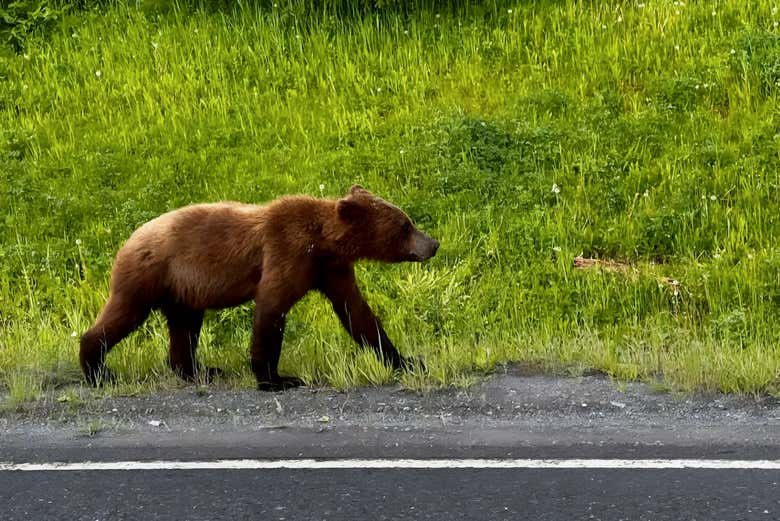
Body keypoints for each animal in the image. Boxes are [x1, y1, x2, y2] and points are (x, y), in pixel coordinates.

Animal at [79, 185, 439, 391]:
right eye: (405, 225)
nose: (433, 244)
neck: (323, 243)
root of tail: (127, 239)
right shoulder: (286, 252)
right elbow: (272, 308)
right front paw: (277, 380)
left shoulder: (331, 270)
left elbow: (358, 313)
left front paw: (406, 360)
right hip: (150, 274)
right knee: (124, 314)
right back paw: (98, 371)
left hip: (183, 290)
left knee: (184, 328)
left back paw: (201, 371)